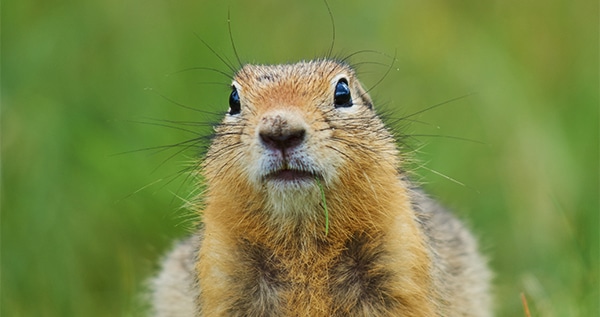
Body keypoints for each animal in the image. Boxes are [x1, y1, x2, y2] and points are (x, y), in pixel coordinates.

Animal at [150, 58, 492, 314]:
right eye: (233, 100)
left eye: (343, 92)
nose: (280, 130)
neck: (303, 239)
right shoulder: (224, 277)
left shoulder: (400, 266)